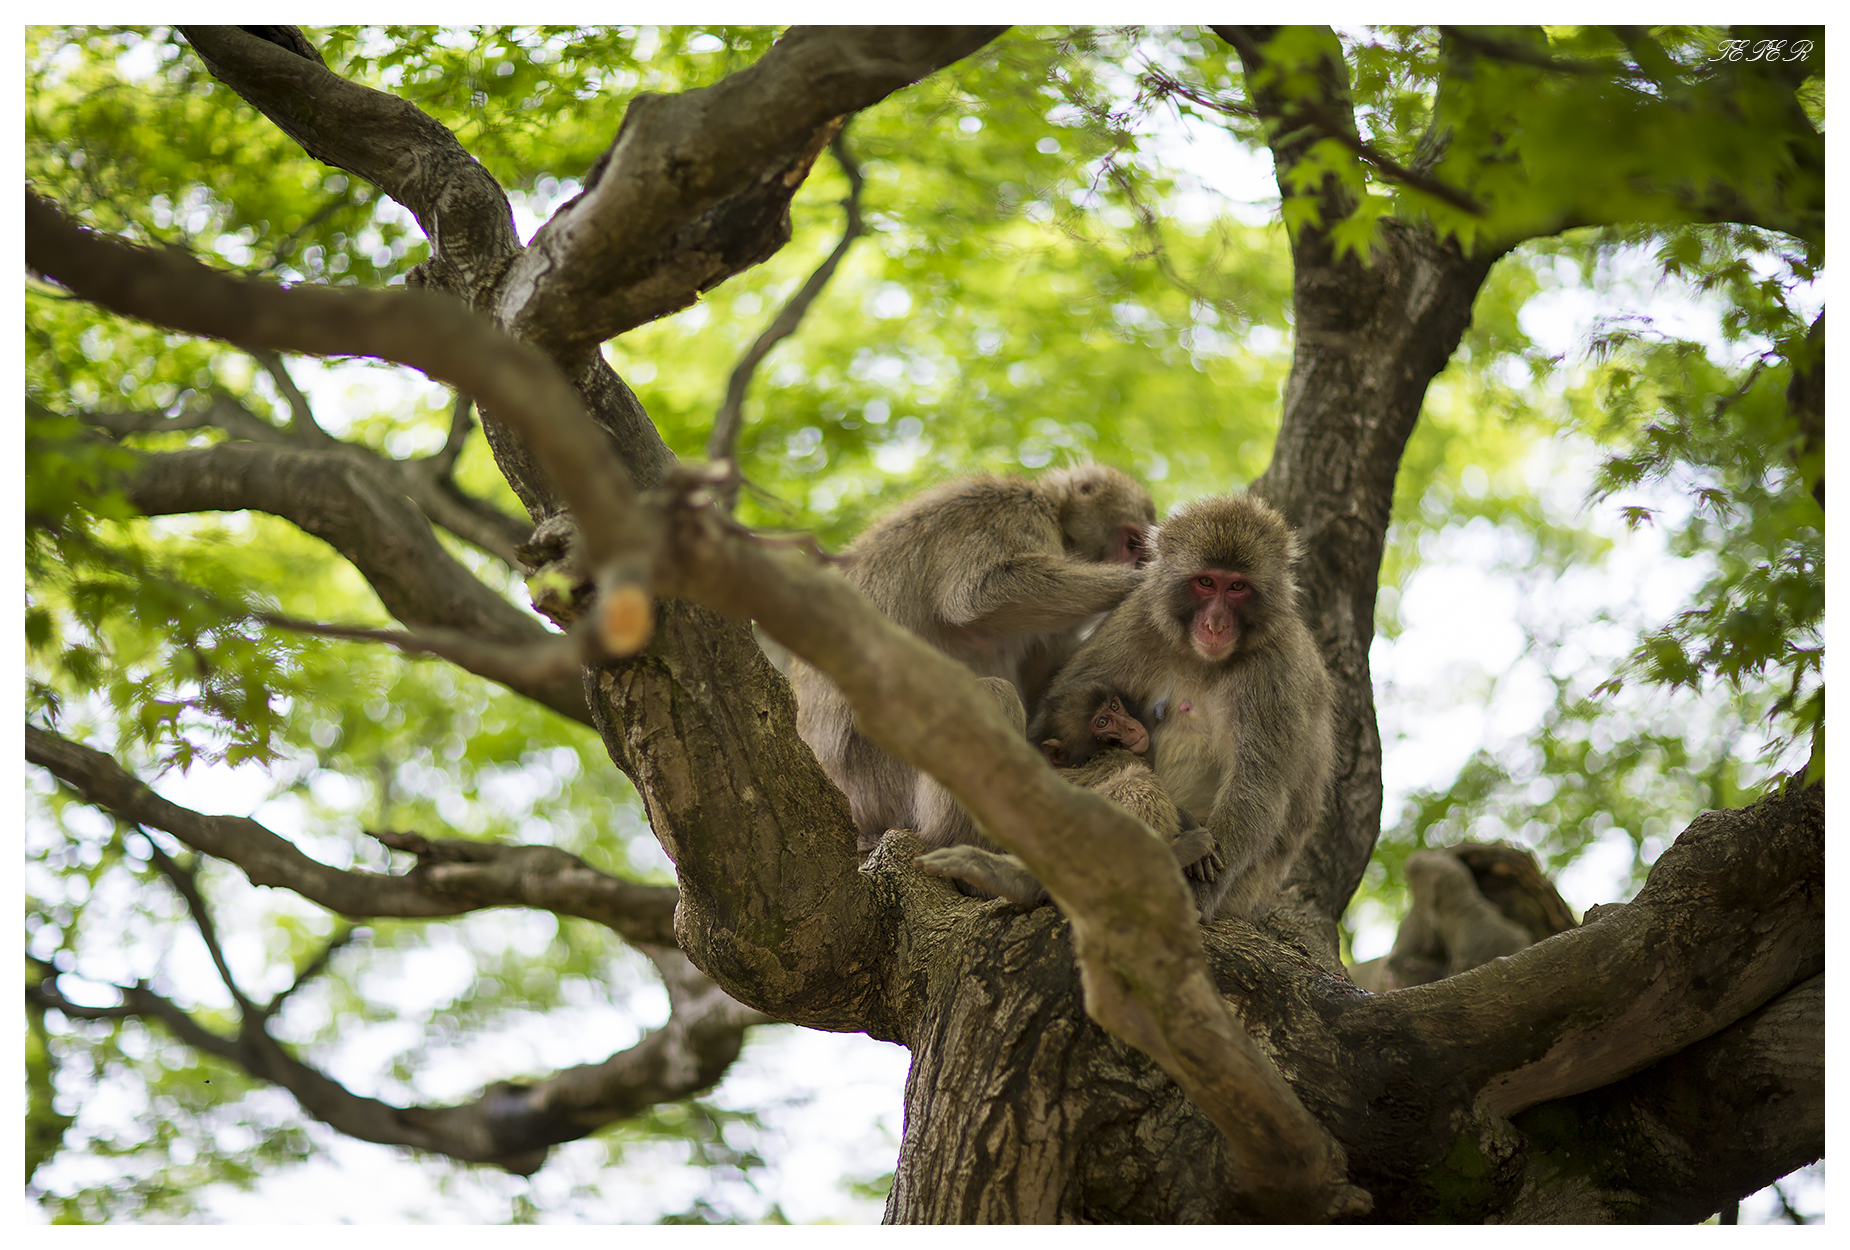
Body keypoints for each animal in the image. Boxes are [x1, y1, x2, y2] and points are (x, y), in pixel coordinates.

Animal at [791, 464, 1156, 855]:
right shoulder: (1009, 511)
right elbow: (977, 595)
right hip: (885, 779)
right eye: (1132, 543)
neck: (1054, 515)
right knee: (993, 693)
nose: (1139, 560)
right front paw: (1141, 579)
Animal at [1032, 493, 1334, 923]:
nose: (1215, 625)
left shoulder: (1277, 668)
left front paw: (1199, 894)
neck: (1203, 658)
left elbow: (1256, 790)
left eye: (1237, 586)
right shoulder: (1137, 621)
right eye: (1206, 582)